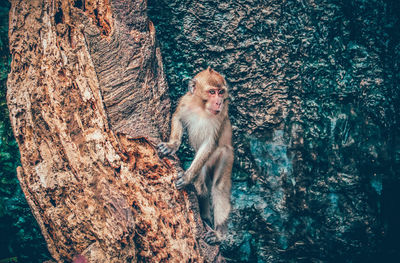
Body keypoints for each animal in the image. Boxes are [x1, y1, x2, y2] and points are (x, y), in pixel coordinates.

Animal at [156, 66, 233, 245]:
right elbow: (177, 117)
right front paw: (172, 145)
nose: (219, 102)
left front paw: (186, 177)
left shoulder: (221, 115)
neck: (202, 108)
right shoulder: (185, 101)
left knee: (218, 187)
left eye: (221, 92)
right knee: (202, 186)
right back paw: (205, 217)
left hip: (226, 155)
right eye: (212, 92)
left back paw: (218, 234)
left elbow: (209, 144)